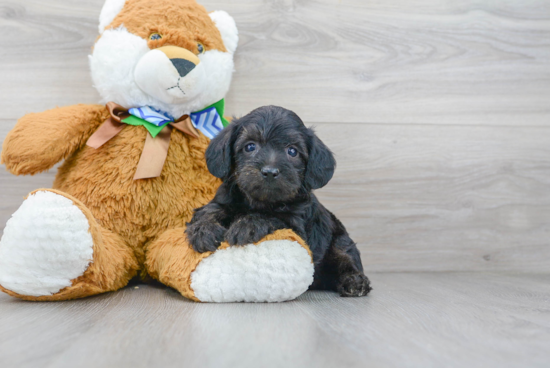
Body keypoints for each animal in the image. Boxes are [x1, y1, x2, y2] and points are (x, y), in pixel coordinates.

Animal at [188, 105, 374, 298]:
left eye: (292, 151)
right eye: (250, 146)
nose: (270, 171)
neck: (259, 201)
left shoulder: (297, 226)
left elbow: (273, 217)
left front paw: (247, 224)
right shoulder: (222, 200)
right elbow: (210, 210)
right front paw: (203, 231)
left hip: (340, 240)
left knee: (344, 257)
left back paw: (354, 281)